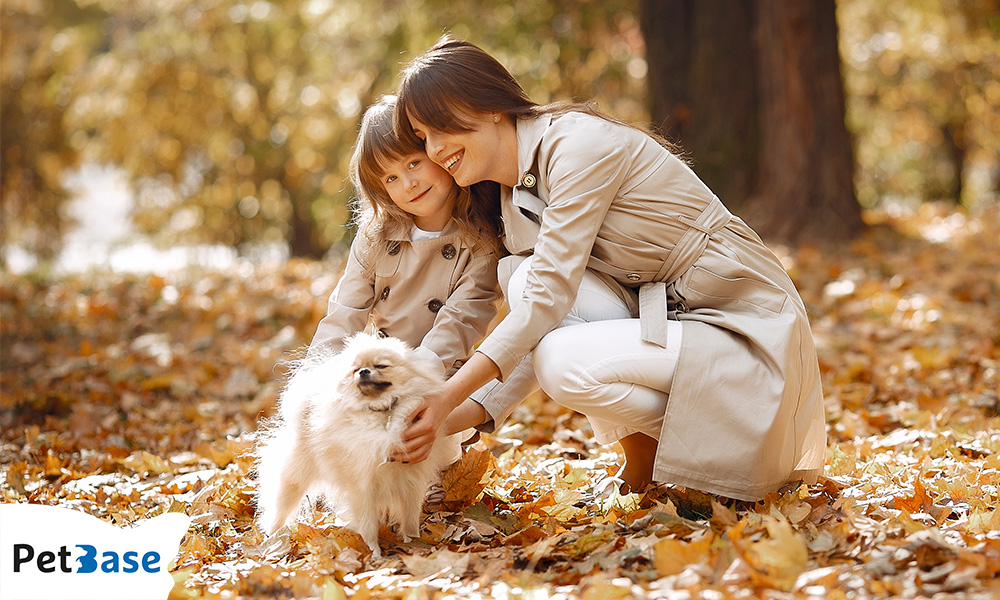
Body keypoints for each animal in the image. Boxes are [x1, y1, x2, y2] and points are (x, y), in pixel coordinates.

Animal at [256, 332, 462, 556]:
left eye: (381, 366)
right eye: (355, 369)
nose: (363, 371)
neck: (382, 412)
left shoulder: (411, 484)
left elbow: (409, 520)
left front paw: (414, 543)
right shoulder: (362, 486)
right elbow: (368, 524)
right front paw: (373, 552)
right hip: (293, 479)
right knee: (280, 508)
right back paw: (272, 538)